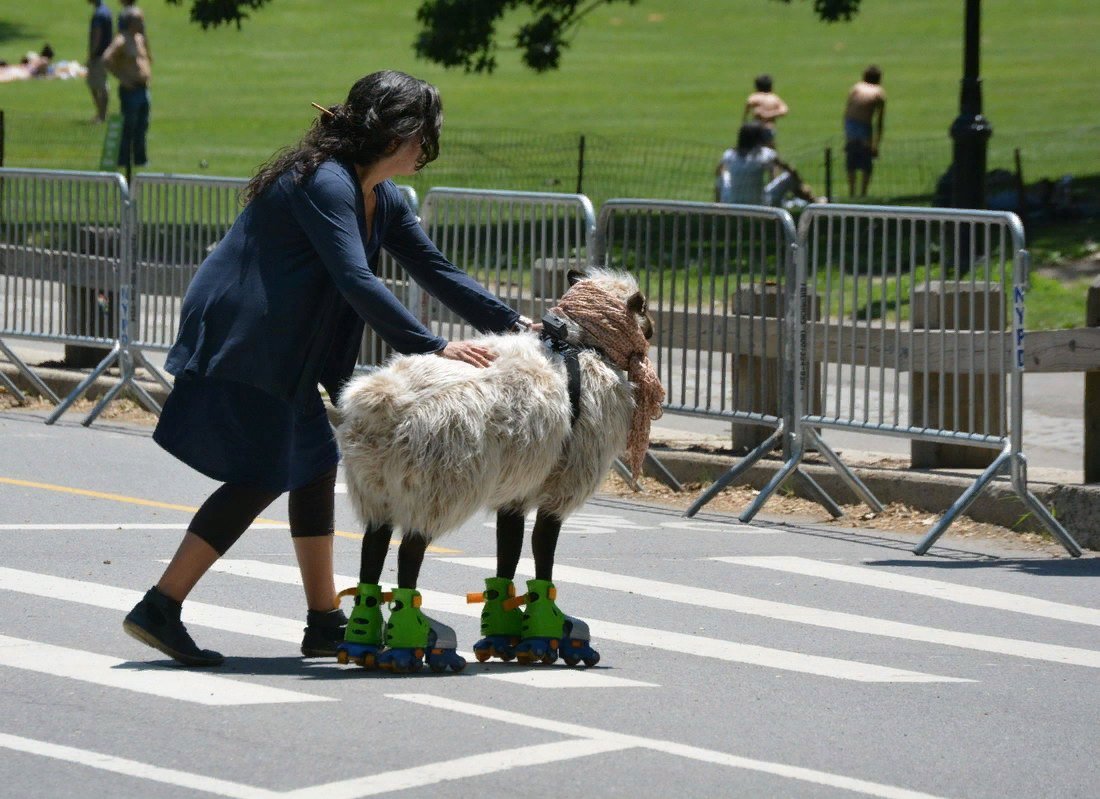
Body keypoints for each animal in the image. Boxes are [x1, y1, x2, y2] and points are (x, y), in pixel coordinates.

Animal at [334, 270, 660, 677]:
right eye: (642, 308)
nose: (654, 331)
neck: (585, 347)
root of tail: (385, 403)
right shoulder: (563, 481)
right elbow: (543, 547)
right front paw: (550, 634)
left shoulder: (518, 484)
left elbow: (508, 547)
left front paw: (505, 635)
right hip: (435, 484)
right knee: (409, 552)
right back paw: (412, 646)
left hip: (375, 485)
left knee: (373, 548)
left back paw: (361, 642)